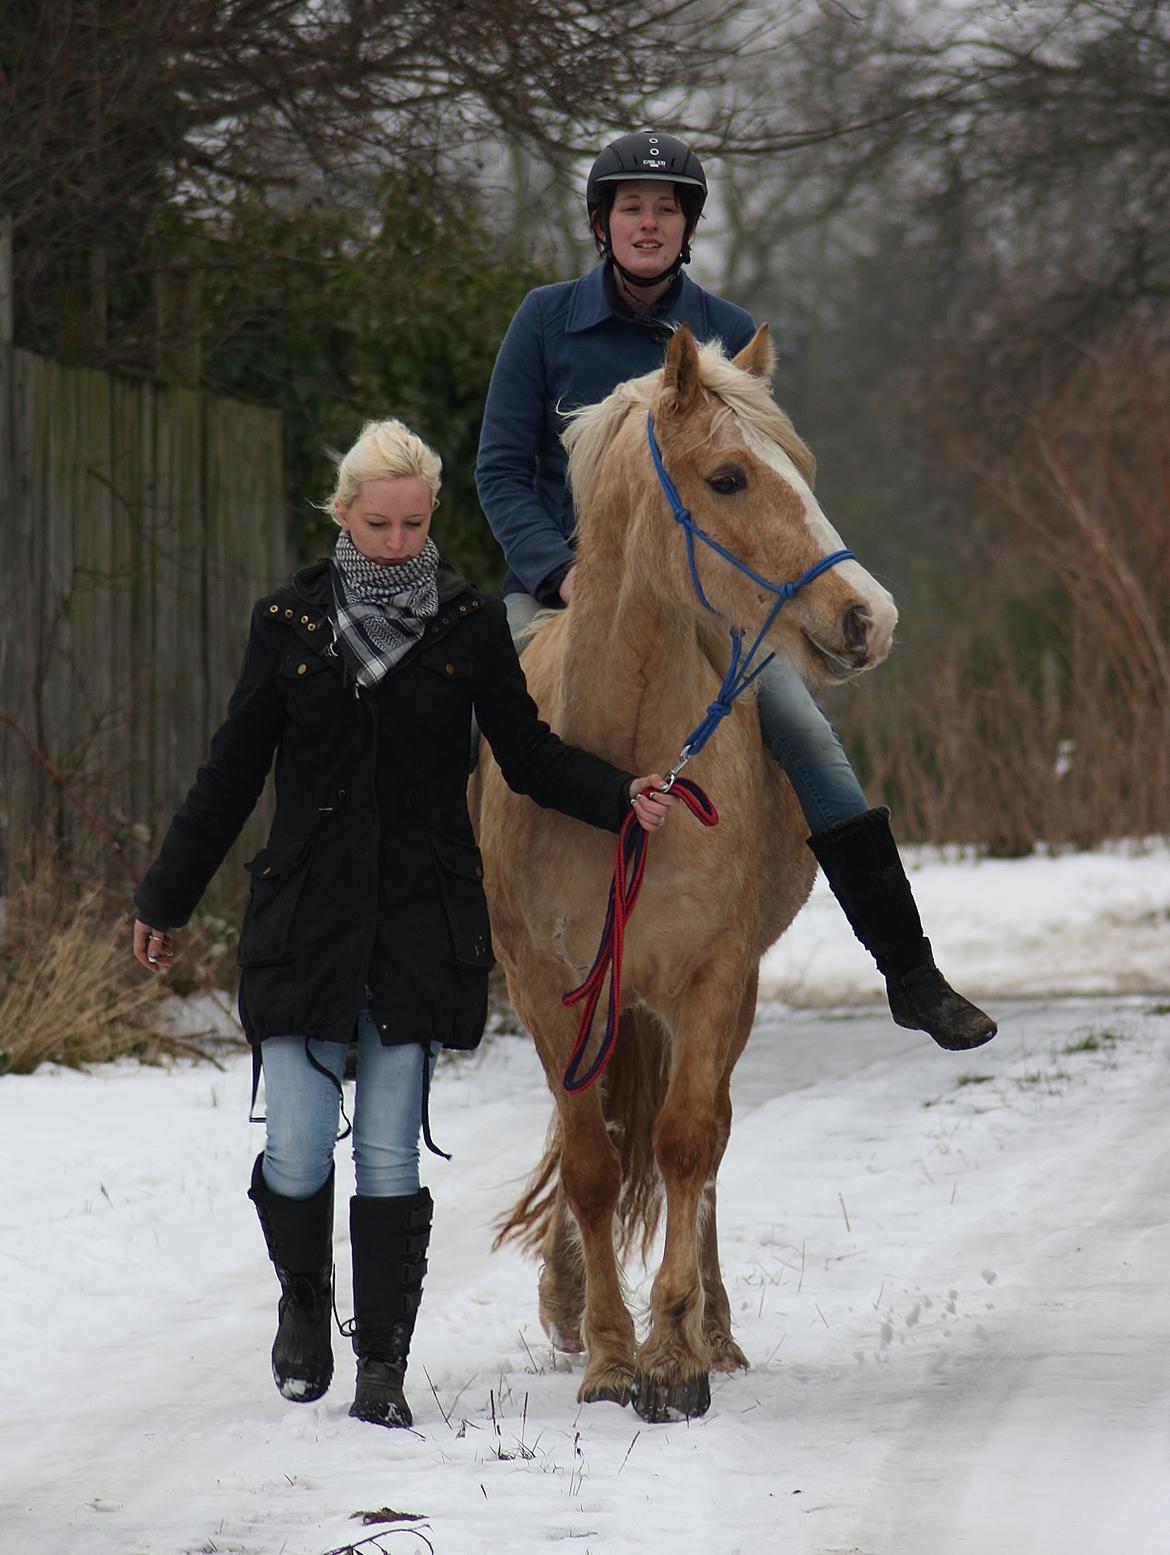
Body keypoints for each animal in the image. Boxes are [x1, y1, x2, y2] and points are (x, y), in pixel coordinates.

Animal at [472, 324, 896, 1424]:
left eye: (805, 470)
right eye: (730, 476)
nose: (868, 616)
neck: (620, 772)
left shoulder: (711, 976)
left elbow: (686, 1140)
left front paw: (674, 1353)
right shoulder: (548, 988)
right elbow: (590, 1159)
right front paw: (608, 1354)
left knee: (701, 1139)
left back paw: (719, 1325)